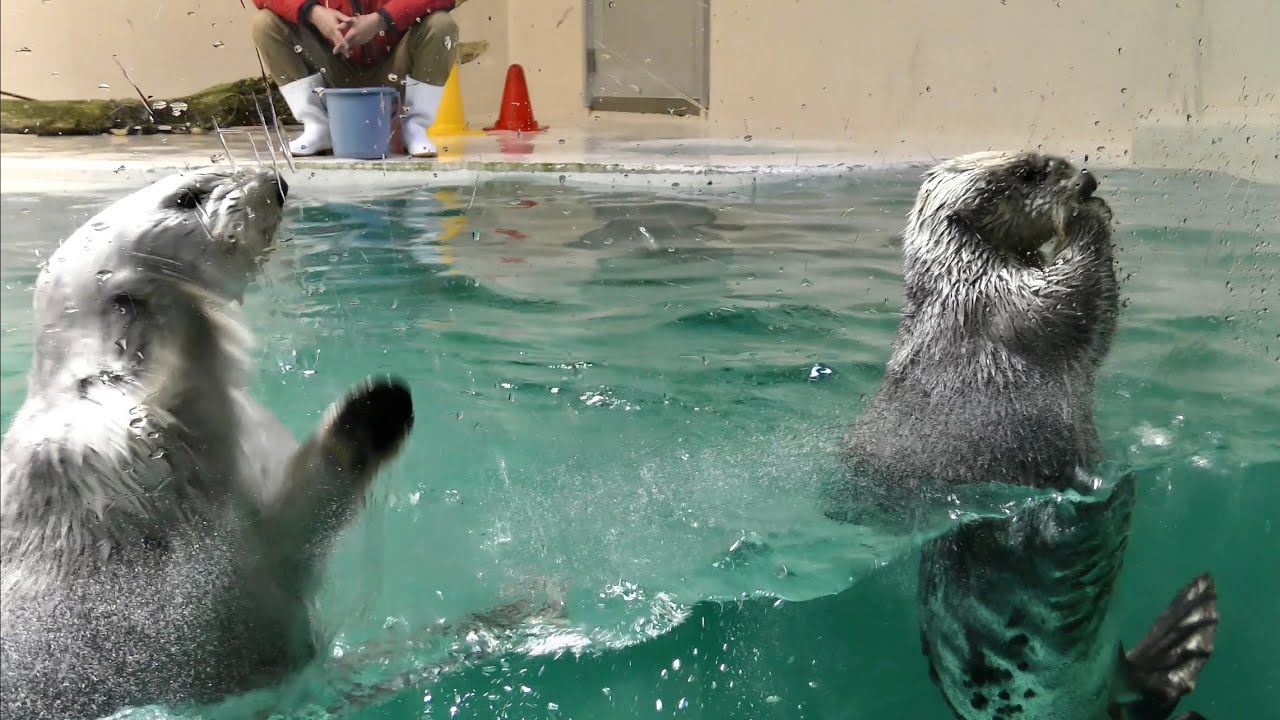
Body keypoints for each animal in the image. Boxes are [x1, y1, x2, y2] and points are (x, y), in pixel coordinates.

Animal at [823, 151, 1218, 720]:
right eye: (1030, 172)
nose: (1086, 180)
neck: (959, 280)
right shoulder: (1000, 304)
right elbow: (1074, 298)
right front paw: (1088, 216)